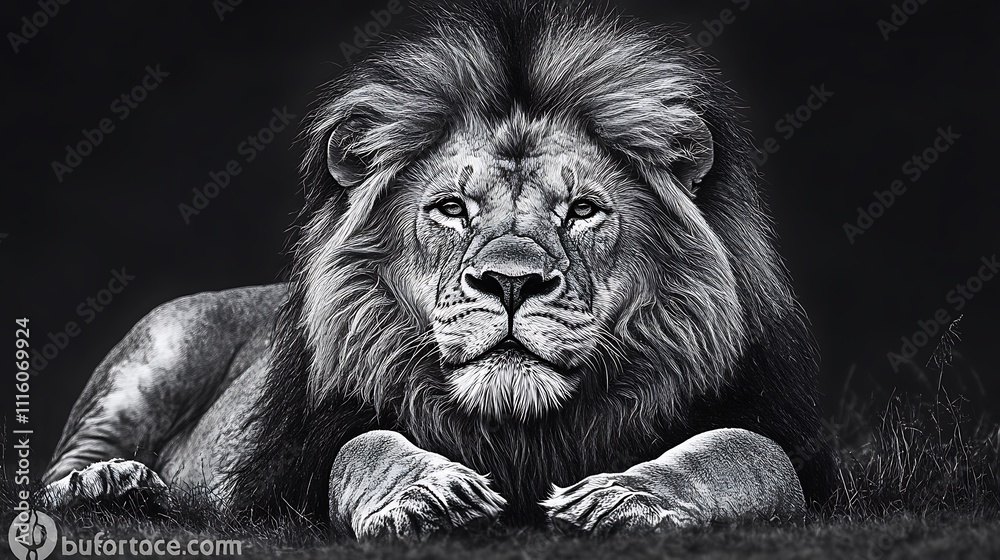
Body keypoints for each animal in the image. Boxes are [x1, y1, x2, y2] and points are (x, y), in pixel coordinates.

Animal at [41, 0, 835, 539]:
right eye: (452, 208)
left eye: (582, 210)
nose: (512, 283)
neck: (523, 433)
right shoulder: (294, 474)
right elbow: (364, 447)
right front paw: (429, 496)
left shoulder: (788, 448)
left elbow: (740, 453)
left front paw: (627, 498)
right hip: (159, 349)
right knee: (53, 473)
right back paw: (111, 486)